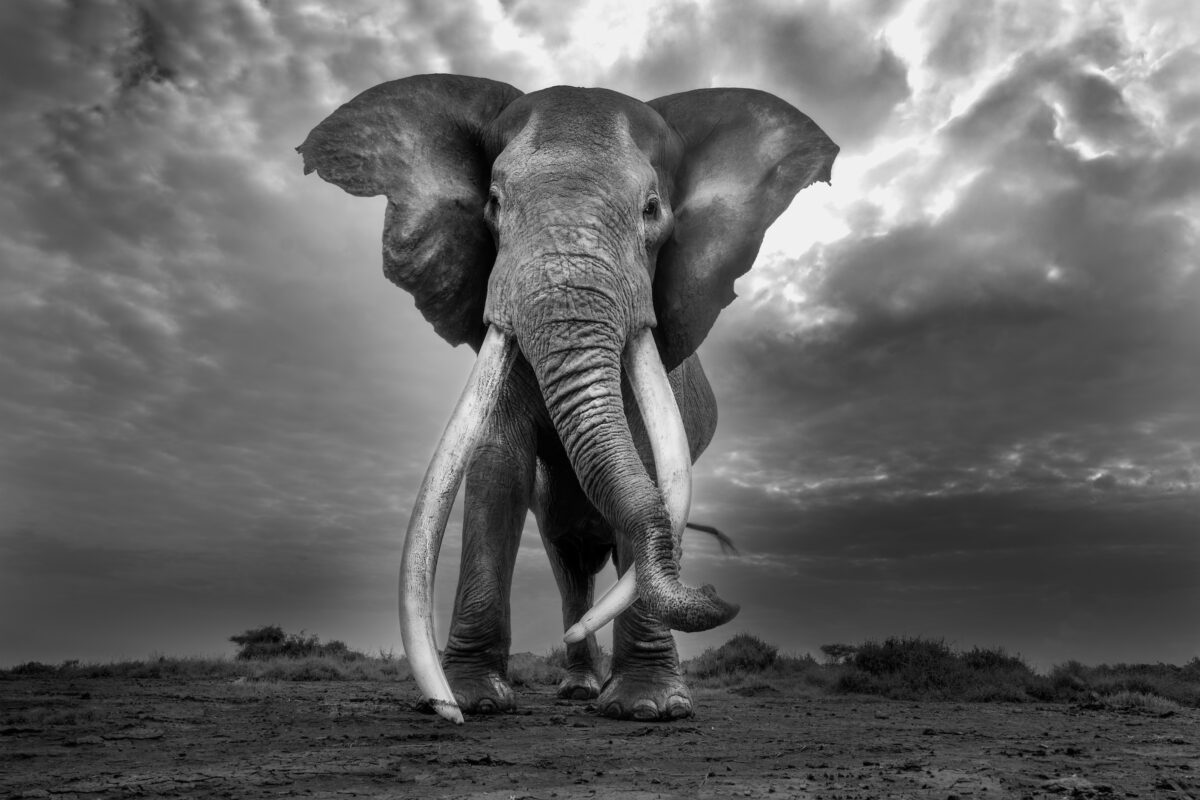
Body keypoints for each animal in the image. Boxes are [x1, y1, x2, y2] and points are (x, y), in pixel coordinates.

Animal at [298, 74, 837, 723]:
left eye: (652, 210)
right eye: (493, 205)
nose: (715, 593)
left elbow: (650, 464)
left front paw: (647, 708)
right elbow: (496, 467)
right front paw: (473, 701)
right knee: (569, 563)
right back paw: (578, 687)